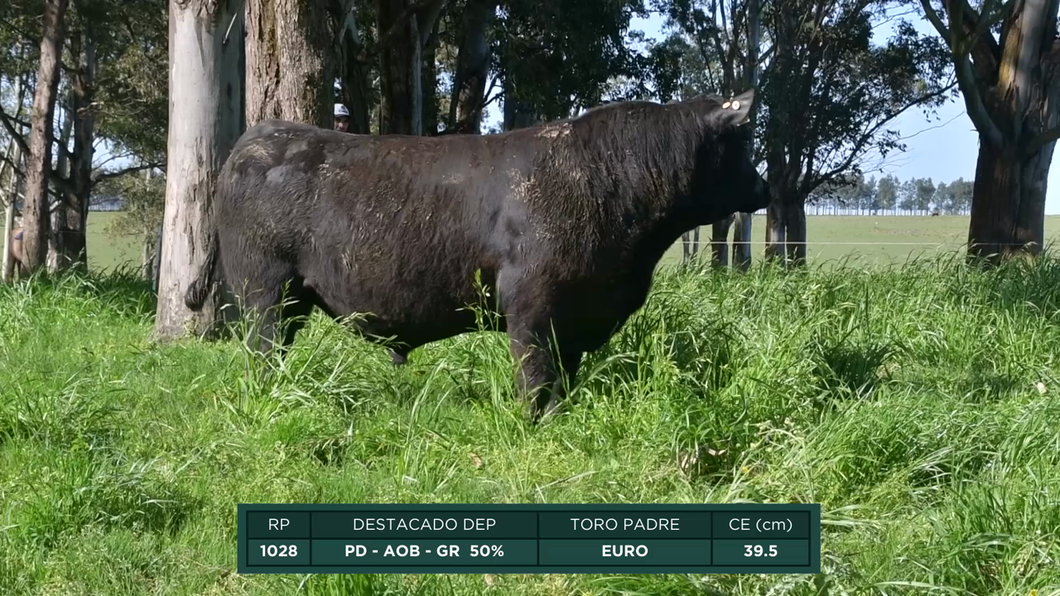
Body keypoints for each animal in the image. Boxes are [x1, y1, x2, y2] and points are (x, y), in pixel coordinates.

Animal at [186, 91, 771, 417]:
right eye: (743, 145)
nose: (765, 188)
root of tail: (256, 138)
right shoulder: (533, 304)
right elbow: (537, 377)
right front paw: (542, 421)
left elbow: (565, 374)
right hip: (267, 292)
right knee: (264, 354)